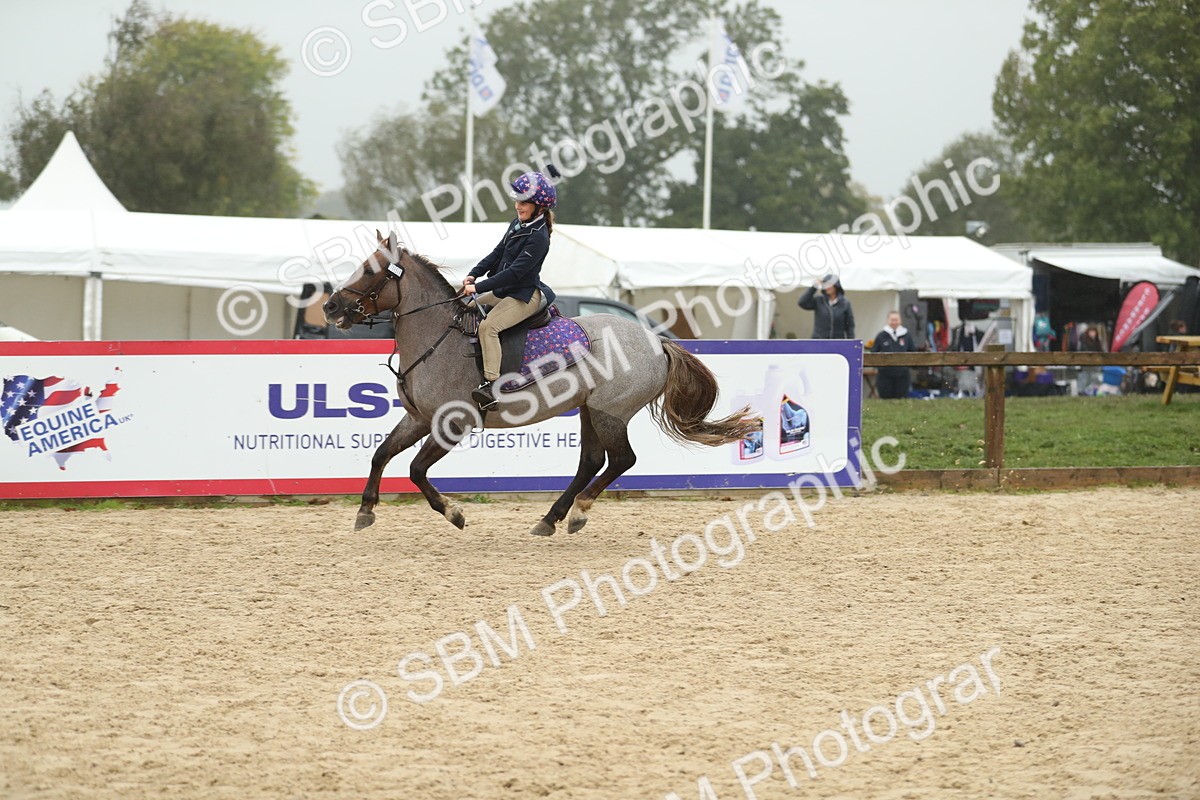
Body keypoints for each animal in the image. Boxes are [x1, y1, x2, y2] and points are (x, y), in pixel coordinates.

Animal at [322, 231, 757, 536]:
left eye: (371, 270)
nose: (330, 306)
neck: (438, 338)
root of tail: (657, 342)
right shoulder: (418, 419)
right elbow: (381, 454)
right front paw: (365, 510)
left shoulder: (452, 423)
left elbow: (415, 470)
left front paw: (454, 513)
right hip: (588, 410)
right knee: (591, 462)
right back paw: (550, 518)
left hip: (610, 412)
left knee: (621, 460)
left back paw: (578, 512)